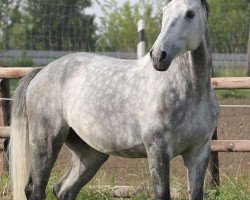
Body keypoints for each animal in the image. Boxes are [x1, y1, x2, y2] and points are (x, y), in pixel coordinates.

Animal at [10, 0, 219, 199]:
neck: (190, 91)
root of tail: (41, 72)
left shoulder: (198, 153)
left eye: (190, 14)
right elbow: (162, 194)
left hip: (91, 154)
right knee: (35, 190)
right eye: (165, 12)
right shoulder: (158, 151)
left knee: (63, 190)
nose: (159, 56)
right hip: (46, 142)